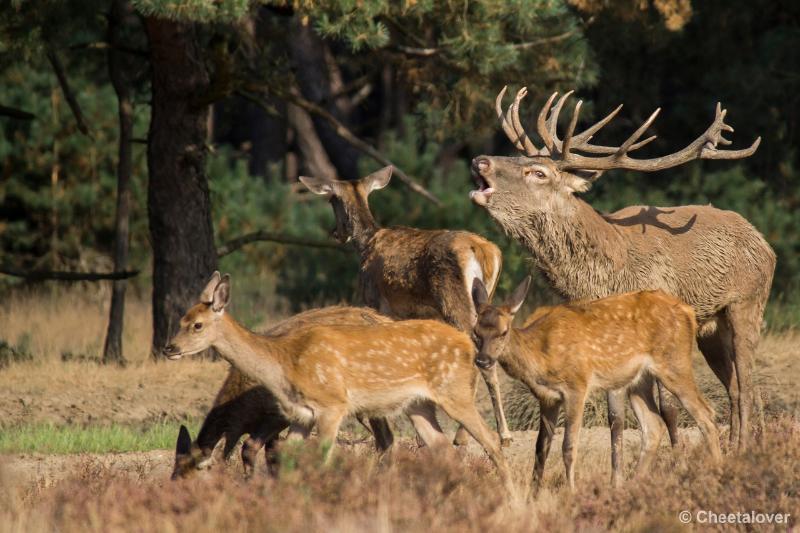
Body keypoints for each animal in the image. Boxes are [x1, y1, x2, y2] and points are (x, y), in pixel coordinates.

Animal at [472, 276, 720, 492]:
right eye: (475, 332)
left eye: (503, 332)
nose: (482, 360)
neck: (539, 357)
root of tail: (689, 313)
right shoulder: (546, 397)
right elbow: (541, 448)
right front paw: (532, 495)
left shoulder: (576, 385)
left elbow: (568, 446)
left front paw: (571, 491)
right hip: (638, 380)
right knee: (654, 426)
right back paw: (630, 486)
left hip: (674, 363)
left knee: (706, 415)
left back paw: (715, 471)